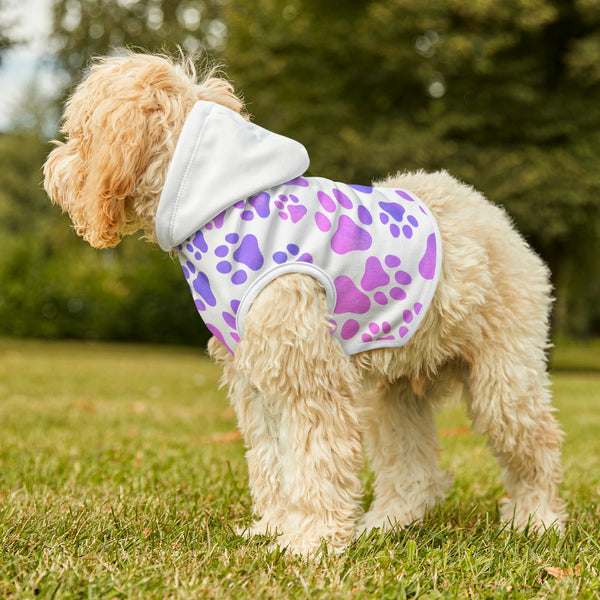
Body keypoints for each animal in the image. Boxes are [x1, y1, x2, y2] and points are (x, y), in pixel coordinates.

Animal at [43, 50, 568, 552]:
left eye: (79, 133)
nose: (51, 170)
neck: (220, 206)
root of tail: (493, 214)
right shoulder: (256, 379)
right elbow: (272, 461)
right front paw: (274, 528)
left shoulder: (308, 376)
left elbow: (315, 461)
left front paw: (309, 542)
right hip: (393, 393)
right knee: (413, 470)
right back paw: (386, 523)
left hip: (503, 378)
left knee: (537, 446)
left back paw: (536, 520)